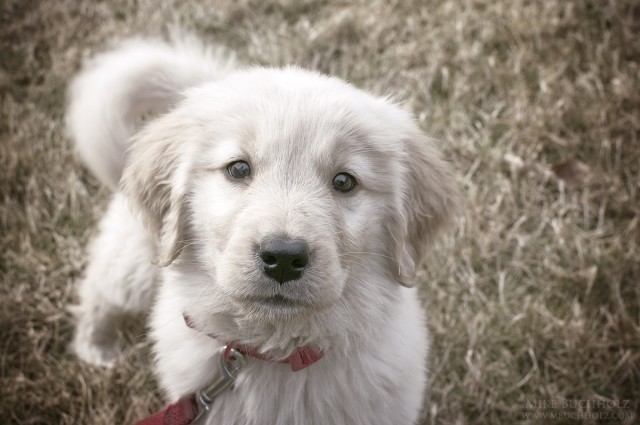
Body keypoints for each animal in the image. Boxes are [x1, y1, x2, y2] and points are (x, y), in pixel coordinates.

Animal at [67, 34, 460, 422]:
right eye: (239, 169)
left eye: (345, 181)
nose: (283, 258)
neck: (274, 353)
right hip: (137, 257)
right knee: (102, 290)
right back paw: (96, 349)